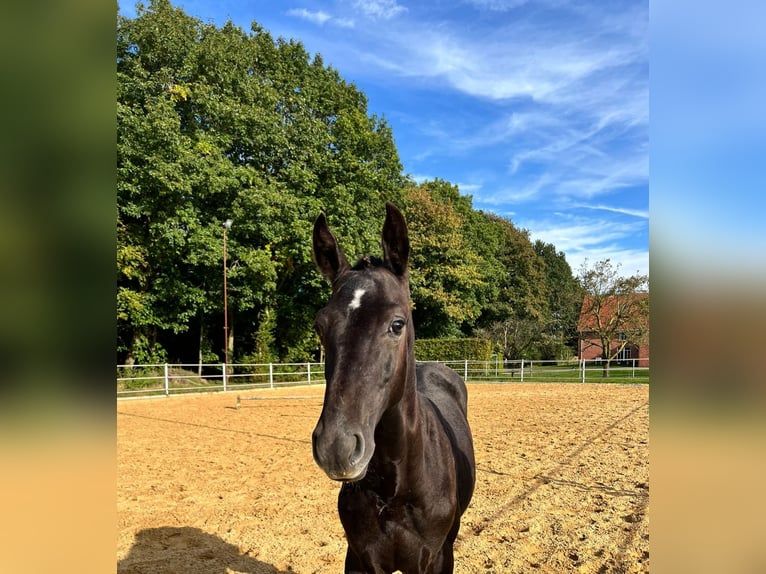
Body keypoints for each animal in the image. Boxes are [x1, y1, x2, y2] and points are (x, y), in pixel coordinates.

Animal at [310, 204, 474, 574]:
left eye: (397, 324)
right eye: (320, 326)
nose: (336, 447)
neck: (395, 491)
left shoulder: (438, 558)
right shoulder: (359, 558)